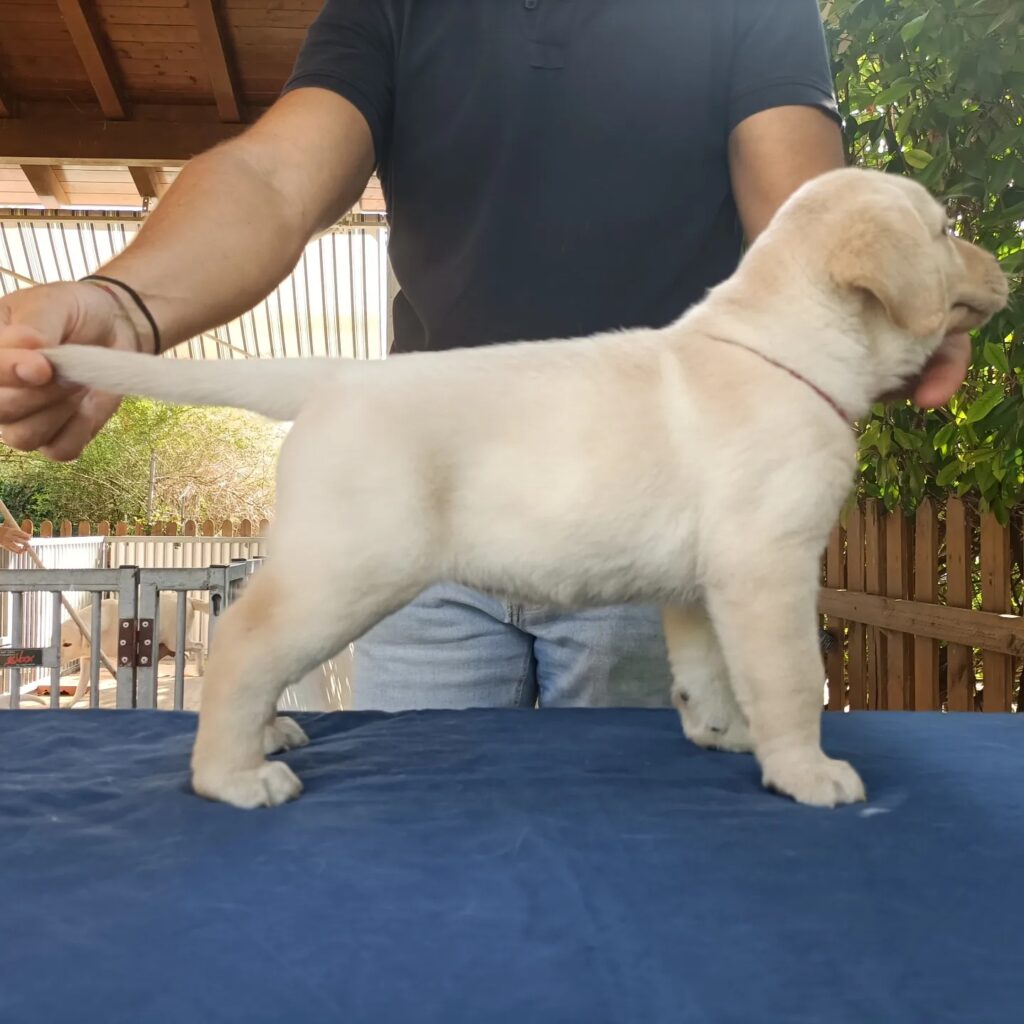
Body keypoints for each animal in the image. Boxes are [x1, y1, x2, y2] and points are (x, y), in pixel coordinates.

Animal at [41, 167, 1007, 806]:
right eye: (943, 230)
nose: (1003, 266)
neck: (783, 348)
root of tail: (333, 378)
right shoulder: (767, 567)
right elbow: (790, 678)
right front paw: (807, 772)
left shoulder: (707, 584)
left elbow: (708, 671)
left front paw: (723, 734)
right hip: (351, 567)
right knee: (244, 641)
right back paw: (234, 775)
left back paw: (265, 731)